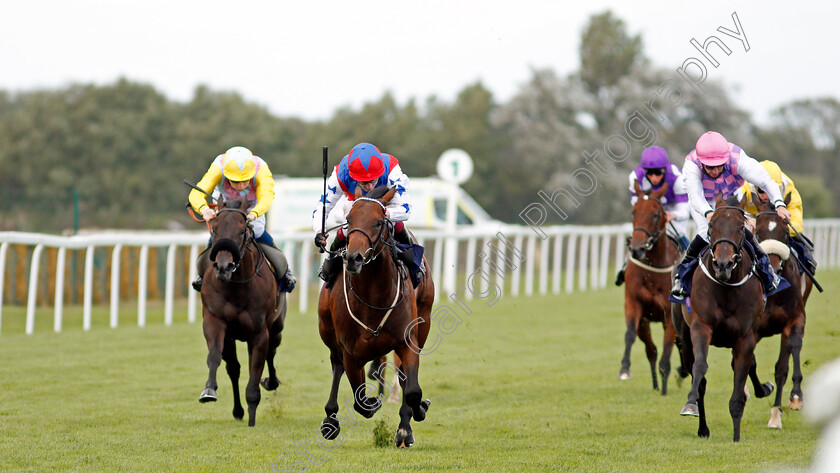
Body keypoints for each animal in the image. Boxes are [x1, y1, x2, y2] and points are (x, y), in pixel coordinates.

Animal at [198, 197, 288, 426]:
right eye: (215, 229)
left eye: (241, 231)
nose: (223, 267)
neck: (237, 287)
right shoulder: (214, 321)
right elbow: (214, 356)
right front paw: (209, 390)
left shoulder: (259, 333)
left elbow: (256, 371)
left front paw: (252, 418)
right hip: (232, 337)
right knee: (234, 368)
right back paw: (238, 410)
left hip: (277, 328)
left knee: (271, 353)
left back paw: (271, 382)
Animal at [316, 184, 434, 446]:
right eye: (348, 220)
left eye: (379, 222)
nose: (353, 258)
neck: (372, 296)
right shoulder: (350, 351)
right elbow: (360, 401)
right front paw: (372, 401)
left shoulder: (407, 341)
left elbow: (412, 390)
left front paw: (412, 419)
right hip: (327, 330)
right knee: (336, 365)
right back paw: (330, 419)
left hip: (424, 322)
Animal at [616, 183, 684, 392]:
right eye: (634, 211)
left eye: (655, 214)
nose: (637, 249)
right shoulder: (634, 305)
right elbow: (631, 336)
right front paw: (624, 368)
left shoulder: (669, 315)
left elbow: (667, 351)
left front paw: (664, 388)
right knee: (652, 350)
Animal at [676, 194, 776, 440]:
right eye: (711, 226)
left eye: (741, 227)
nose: (723, 264)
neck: (726, 287)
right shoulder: (700, 327)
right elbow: (700, 369)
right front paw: (690, 404)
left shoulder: (745, 338)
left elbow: (740, 383)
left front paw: (736, 436)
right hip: (684, 338)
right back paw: (702, 428)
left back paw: (763, 389)